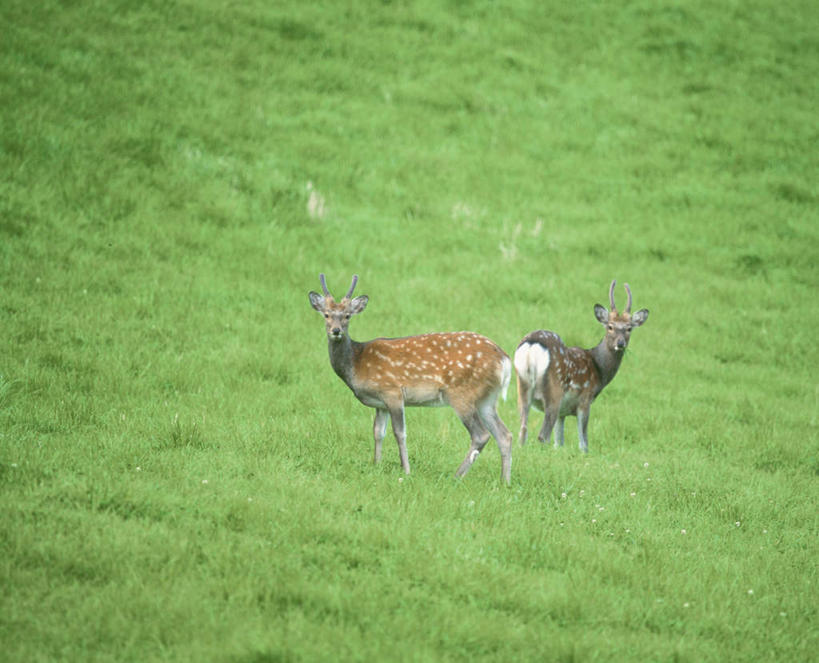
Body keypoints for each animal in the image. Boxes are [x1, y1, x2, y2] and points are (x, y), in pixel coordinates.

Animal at [308, 272, 512, 486]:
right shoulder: (380, 404)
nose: (336, 330)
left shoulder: (392, 391)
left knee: (481, 435)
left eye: (347, 315)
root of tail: (504, 359)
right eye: (326, 314)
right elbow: (378, 432)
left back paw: (456, 476)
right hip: (487, 399)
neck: (356, 363)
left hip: (461, 393)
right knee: (504, 435)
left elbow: (400, 433)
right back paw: (505, 481)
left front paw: (405, 471)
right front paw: (376, 465)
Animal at [516, 278, 652, 454]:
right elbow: (583, 443)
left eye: (629, 328)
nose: (620, 343)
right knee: (542, 435)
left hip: (522, 389)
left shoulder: (563, 412)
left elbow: (559, 442)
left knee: (522, 430)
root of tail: (532, 346)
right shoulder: (585, 399)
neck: (599, 369)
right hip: (554, 390)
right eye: (610, 326)